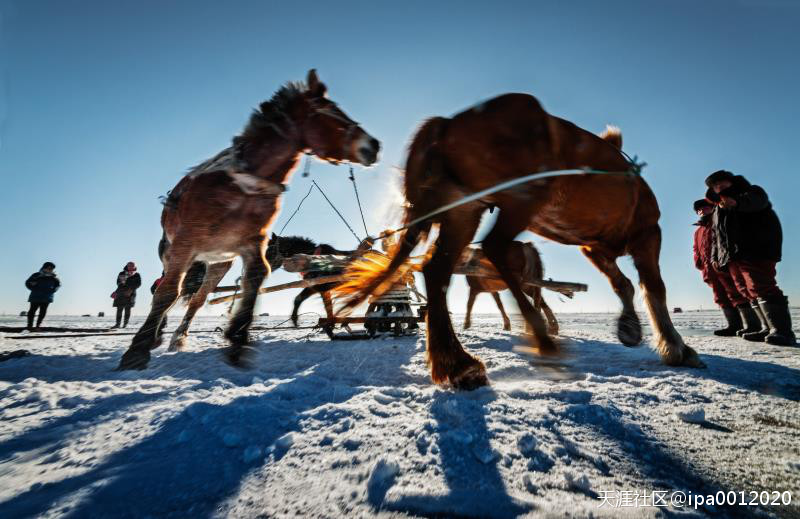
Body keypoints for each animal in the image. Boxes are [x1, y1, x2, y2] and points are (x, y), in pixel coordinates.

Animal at [117, 70, 380, 370]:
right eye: (329, 111)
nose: (373, 145)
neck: (241, 188)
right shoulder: (186, 243)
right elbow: (168, 293)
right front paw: (137, 351)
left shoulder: (252, 243)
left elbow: (254, 279)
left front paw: (238, 339)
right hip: (172, 252)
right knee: (167, 289)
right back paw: (158, 334)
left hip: (219, 263)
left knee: (197, 298)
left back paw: (179, 337)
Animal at [338, 92, 700, 390]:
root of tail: (445, 124)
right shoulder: (648, 233)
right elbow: (654, 288)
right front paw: (676, 346)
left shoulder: (592, 249)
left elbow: (622, 284)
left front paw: (630, 328)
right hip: (521, 200)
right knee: (494, 248)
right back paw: (539, 341)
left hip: (464, 209)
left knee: (437, 270)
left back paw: (457, 365)